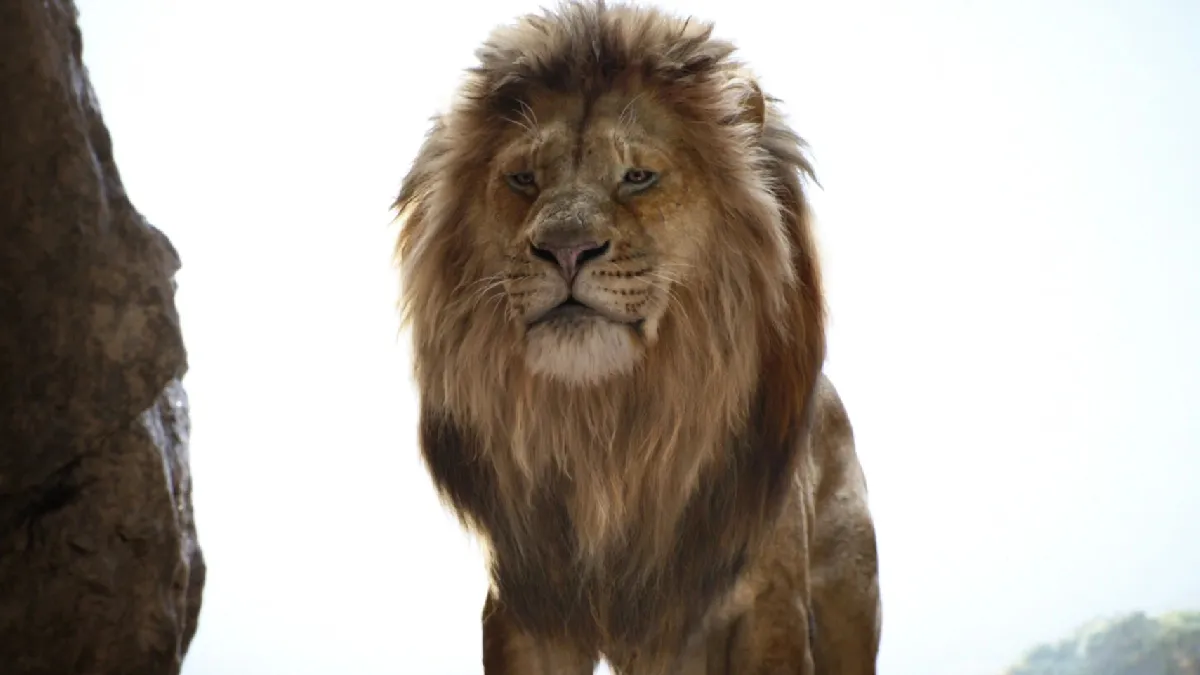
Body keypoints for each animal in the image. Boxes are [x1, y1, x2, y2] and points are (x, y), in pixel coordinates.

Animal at [392, 1, 882, 673]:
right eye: (523, 179)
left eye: (639, 176)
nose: (565, 249)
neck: (613, 429)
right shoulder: (525, 605)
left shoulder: (767, 607)